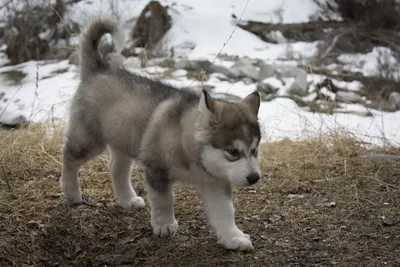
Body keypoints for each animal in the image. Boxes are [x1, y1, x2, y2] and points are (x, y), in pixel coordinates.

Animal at [60, 16, 262, 251]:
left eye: (254, 150)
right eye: (233, 152)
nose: (254, 178)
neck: (187, 145)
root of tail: (99, 69)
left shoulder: (216, 181)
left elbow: (225, 211)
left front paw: (233, 237)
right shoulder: (156, 169)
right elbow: (165, 200)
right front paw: (165, 224)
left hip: (124, 139)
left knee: (116, 169)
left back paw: (128, 199)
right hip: (90, 139)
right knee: (69, 157)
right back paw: (71, 192)